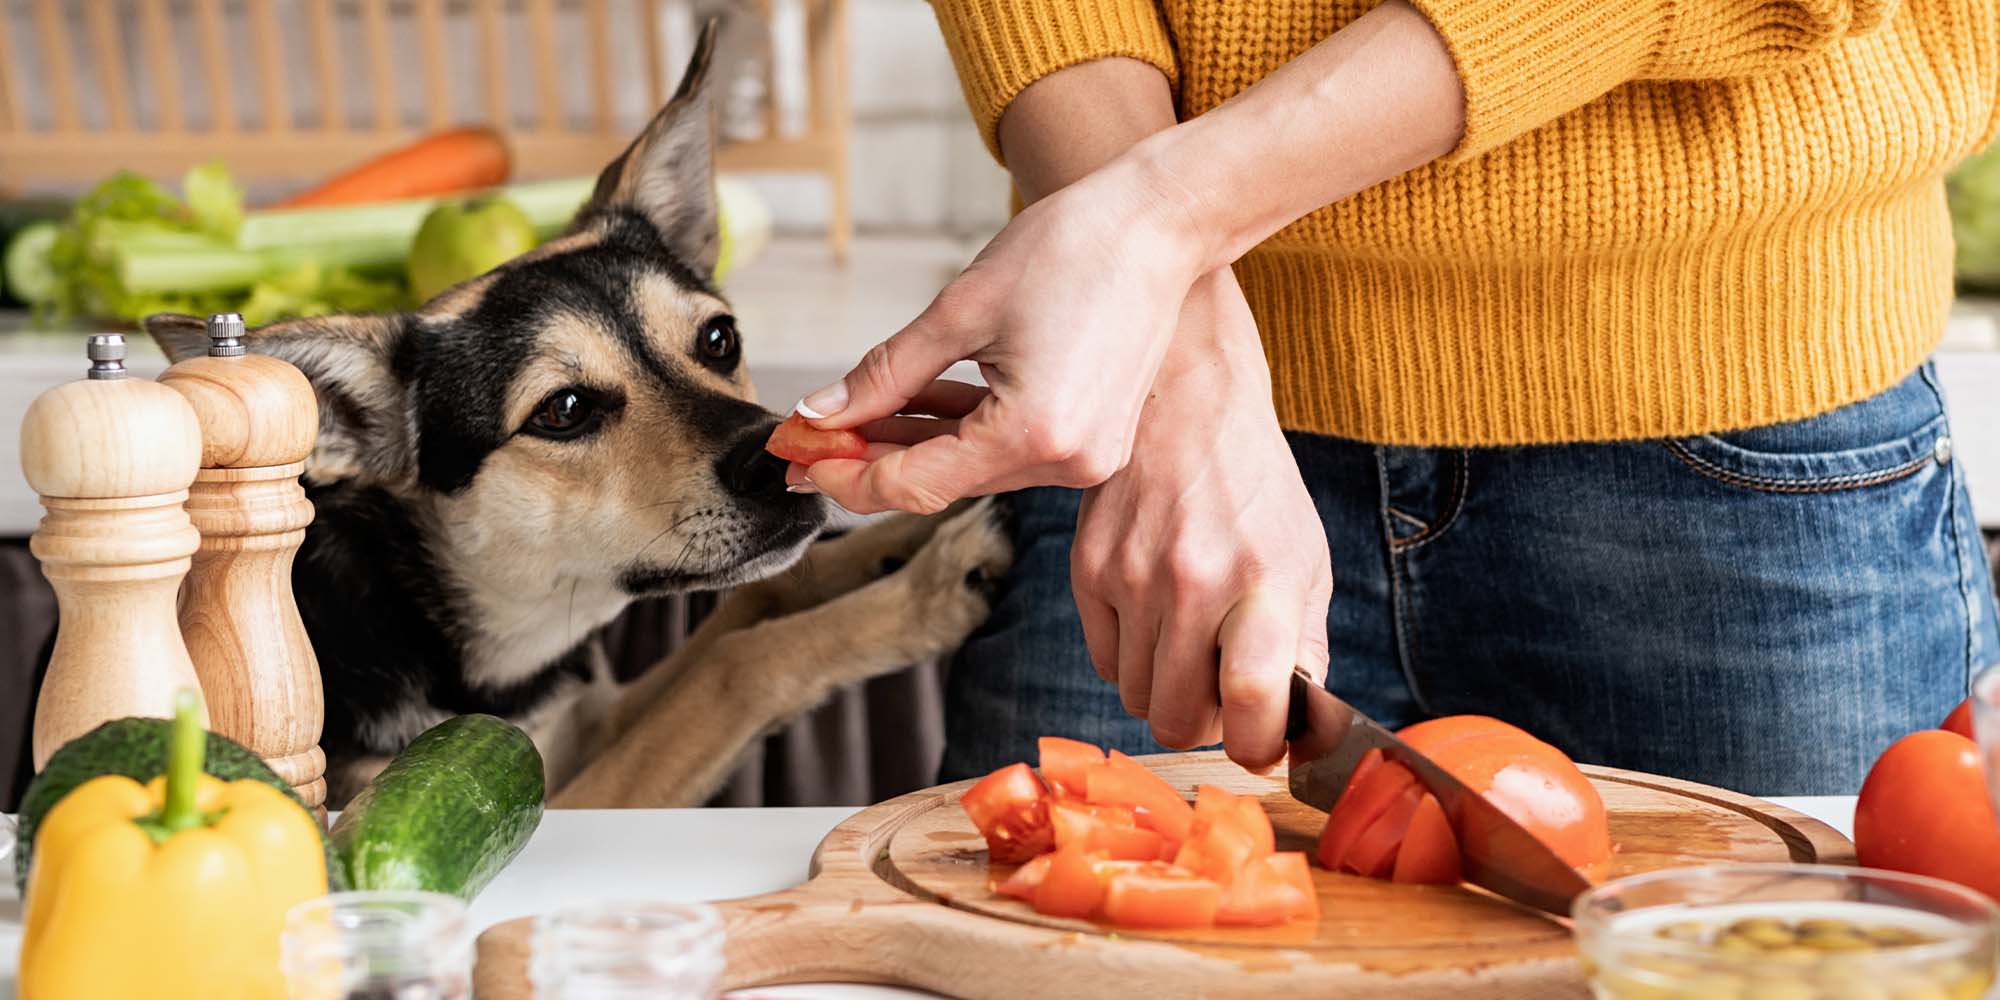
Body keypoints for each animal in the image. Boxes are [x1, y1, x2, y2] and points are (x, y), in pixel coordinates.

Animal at [146, 23, 1008, 808]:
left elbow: (751, 605)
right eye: (563, 411)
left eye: (719, 338)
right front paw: (924, 594)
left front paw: (910, 533)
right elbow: (736, 668)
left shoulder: (591, 718)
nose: (776, 458)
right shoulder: (544, 800)